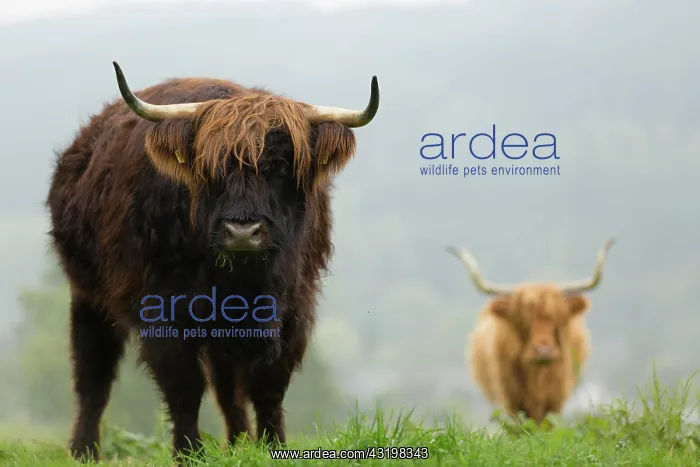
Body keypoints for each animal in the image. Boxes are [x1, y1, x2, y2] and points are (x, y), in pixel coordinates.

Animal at [46, 62, 379, 462]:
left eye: (282, 167)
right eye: (210, 168)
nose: (242, 232)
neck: (241, 281)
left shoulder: (292, 310)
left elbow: (268, 386)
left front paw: (273, 446)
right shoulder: (162, 311)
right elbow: (184, 388)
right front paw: (189, 453)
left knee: (227, 386)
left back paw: (237, 442)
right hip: (87, 296)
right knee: (93, 375)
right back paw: (84, 450)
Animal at [445, 238, 615, 424]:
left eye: (559, 319)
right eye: (522, 320)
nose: (544, 351)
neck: (537, 378)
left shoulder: (556, 398)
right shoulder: (511, 399)